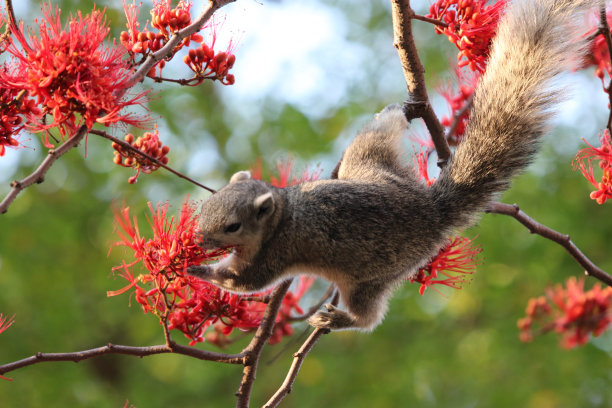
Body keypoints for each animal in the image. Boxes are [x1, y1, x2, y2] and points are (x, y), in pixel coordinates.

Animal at [190, 0, 596, 330]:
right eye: (207, 206)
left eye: (233, 226)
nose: (199, 241)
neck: (282, 214)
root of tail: (430, 211)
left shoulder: (276, 254)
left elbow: (244, 283)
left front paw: (198, 269)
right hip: (367, 162)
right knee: (378, 134)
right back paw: (398, 109)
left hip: (370, 277)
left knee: (368, 317)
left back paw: (338, 319)